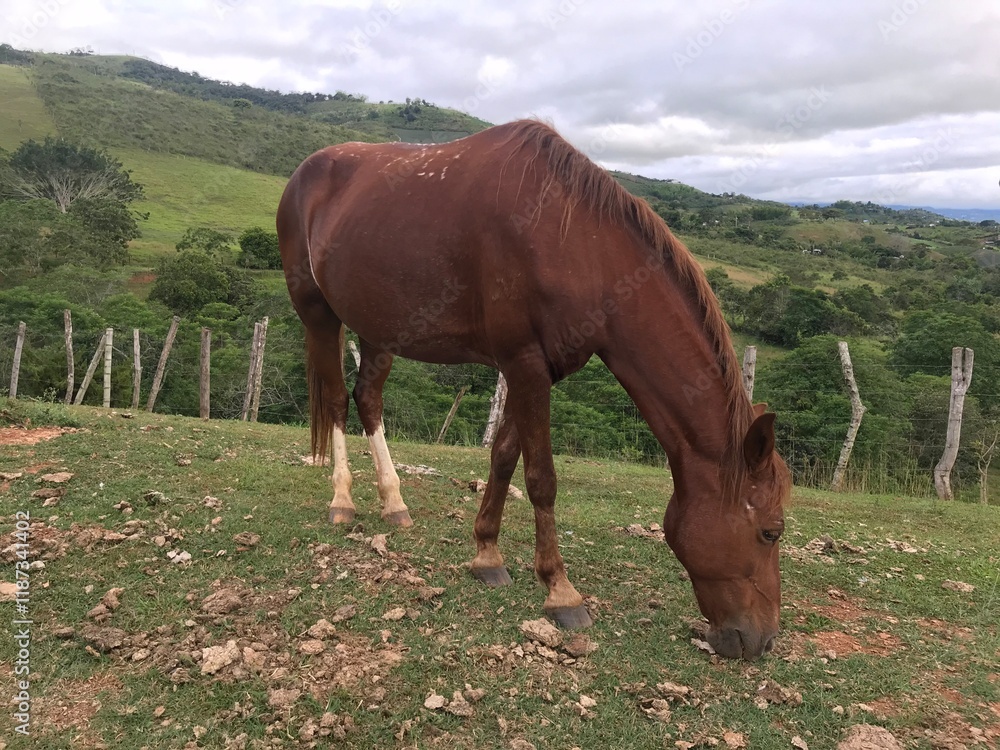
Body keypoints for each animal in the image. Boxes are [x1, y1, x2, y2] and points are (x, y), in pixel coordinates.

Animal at [276, 119, 792, 660]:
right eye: (770, 532)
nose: (763, 640)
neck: (579, 245)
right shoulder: (524, 363)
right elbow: (542, 478)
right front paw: (561, 591)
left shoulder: (536, 368)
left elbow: (504, 456)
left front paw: (487, 555)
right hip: (318, 314)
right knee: (337, 401)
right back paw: (343, 502)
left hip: (379, 329)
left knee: (368, 400)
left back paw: (394, 504)